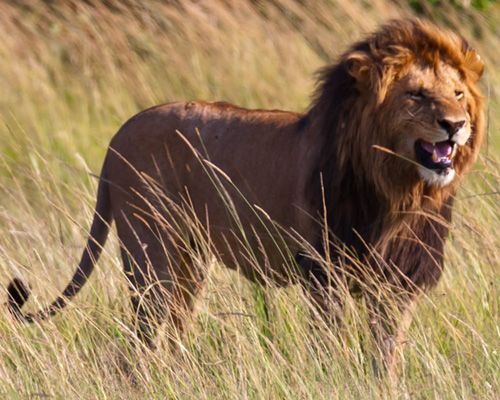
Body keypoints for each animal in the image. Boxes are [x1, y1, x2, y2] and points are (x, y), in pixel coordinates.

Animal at [6, 18, 484, 376]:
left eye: (458, 93)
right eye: (416, 94)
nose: (455, 125)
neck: (400, 191)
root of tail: (116, 137)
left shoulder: (399, 278)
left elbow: (388, 352)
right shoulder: (323, 270)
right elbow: (330, 341)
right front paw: (333, 375)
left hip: (189, 263)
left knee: (172, 334)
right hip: (151, 256)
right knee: (139, 341)